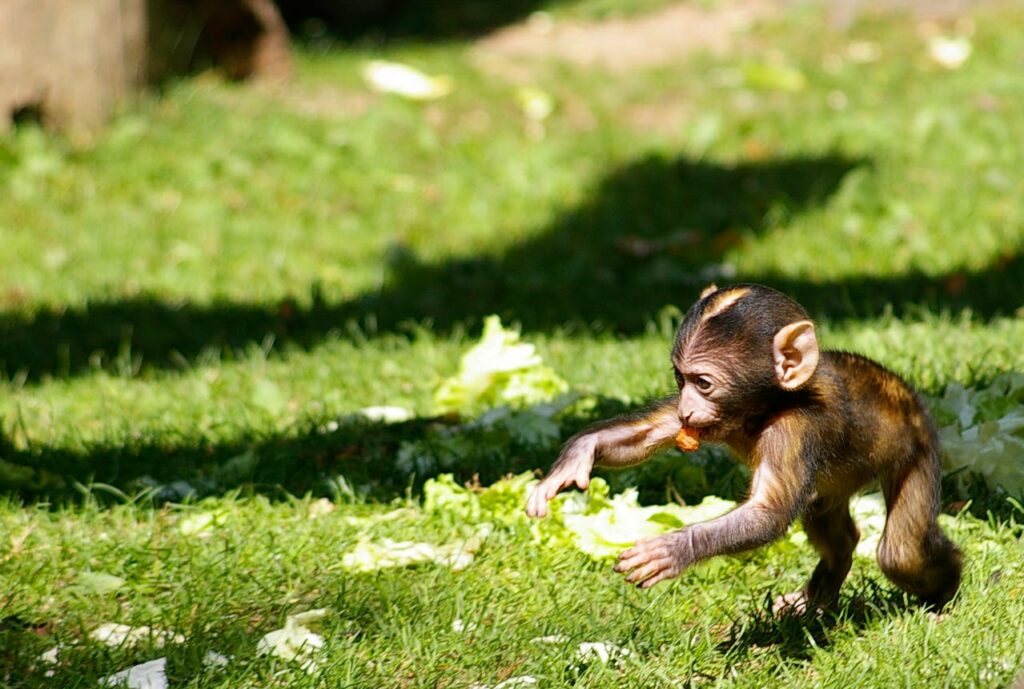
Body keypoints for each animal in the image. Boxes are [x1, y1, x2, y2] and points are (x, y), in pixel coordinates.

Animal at [526, 283, 962, 611]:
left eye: (704, 383)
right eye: (680, 378)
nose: (687, 406)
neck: (762, 408)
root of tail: (909, 397)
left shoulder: (793, 429)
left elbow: (769, 514)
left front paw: (677, 548)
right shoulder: (701, 421)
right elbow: (649, 433)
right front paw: (576, 457)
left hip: (918, 451)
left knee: (901, 553)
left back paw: (946, 593)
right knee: (829, 520)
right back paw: (823, 584)